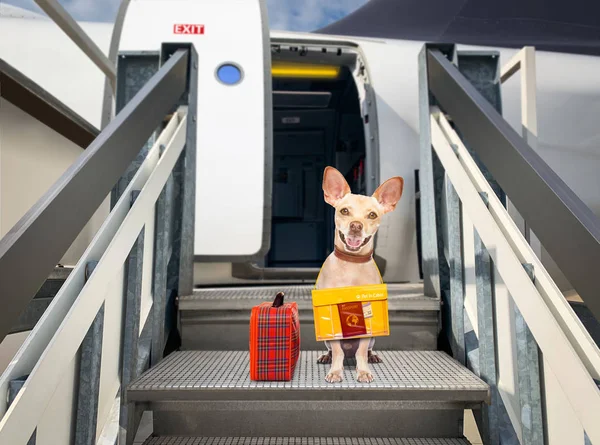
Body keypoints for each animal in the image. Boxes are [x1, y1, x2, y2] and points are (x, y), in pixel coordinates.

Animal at [314, 166, 404, 382]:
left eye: (372, 215)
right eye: (344, 211)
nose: (356, 225)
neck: (351, 264)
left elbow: (361, 351)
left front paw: (363, 370)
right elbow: (338, 351)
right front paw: (335, 371)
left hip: (373, 336)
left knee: (364, 349)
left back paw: (372, 356)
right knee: (334, 350)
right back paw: (326, 356)